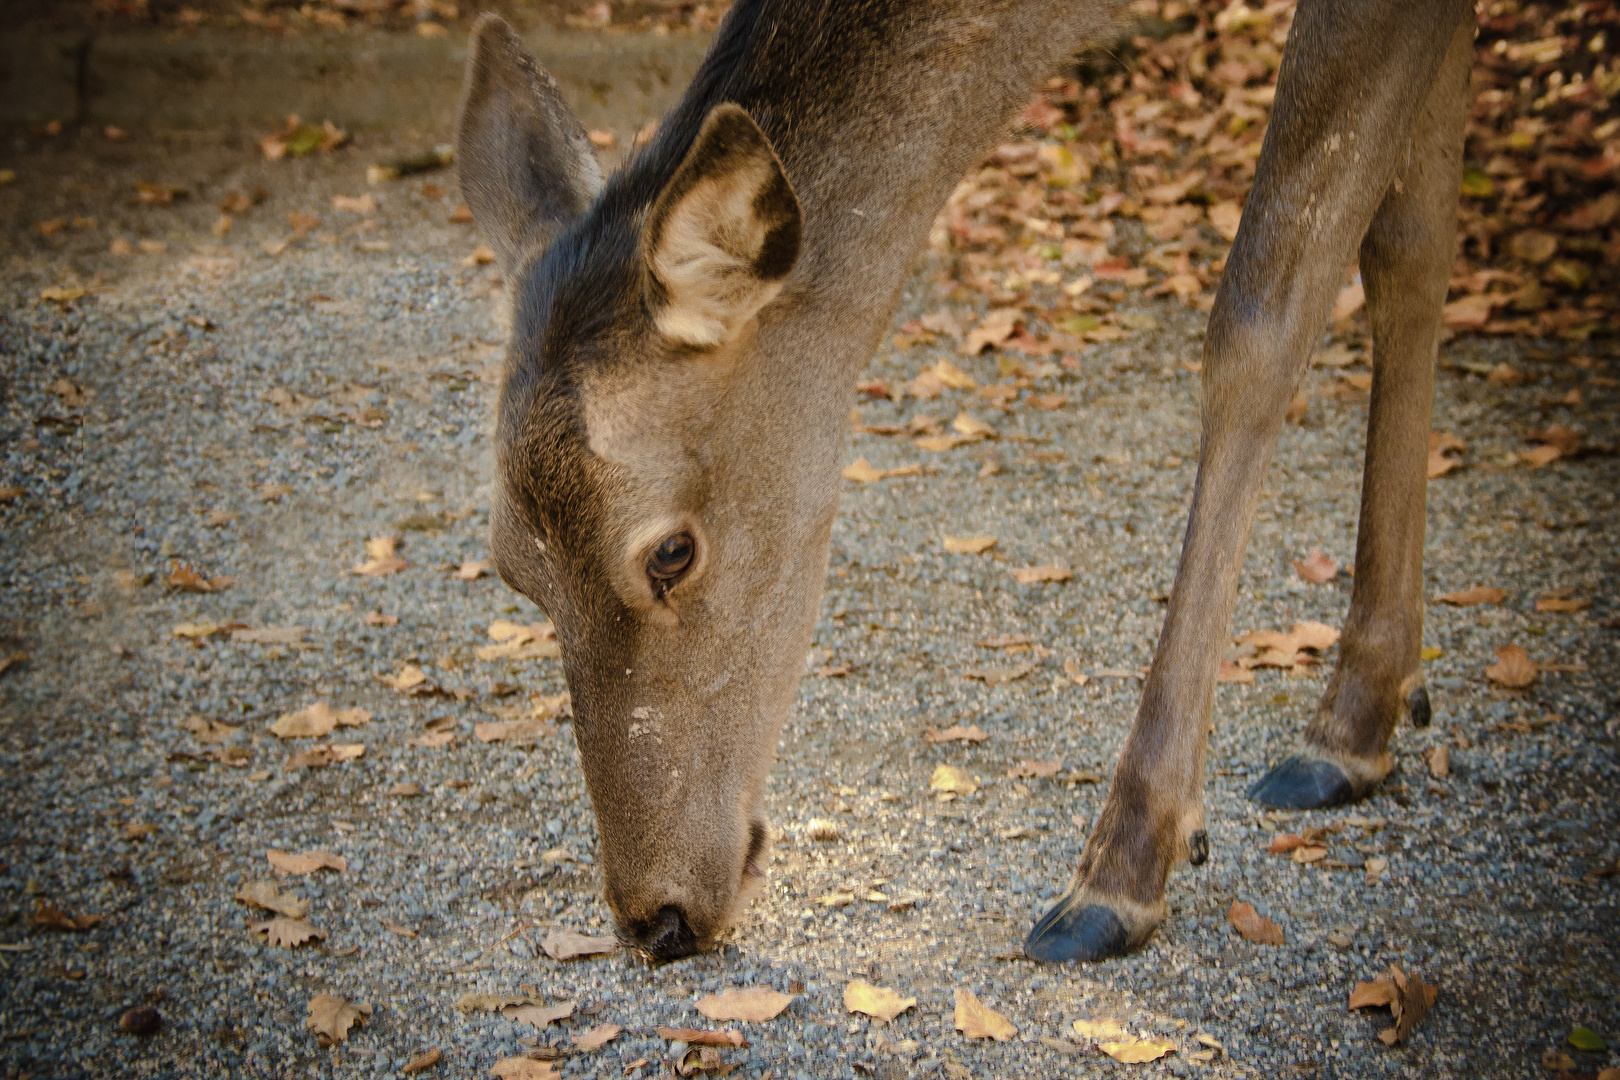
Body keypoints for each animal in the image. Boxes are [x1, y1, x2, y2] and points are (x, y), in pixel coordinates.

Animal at [456, 0, 1483, 965]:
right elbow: (1412, 241)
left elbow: (1264, 313)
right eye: (513, 570)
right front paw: (1358, 721)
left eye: (670, 552)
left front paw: (1123, 868)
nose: (655, 918)